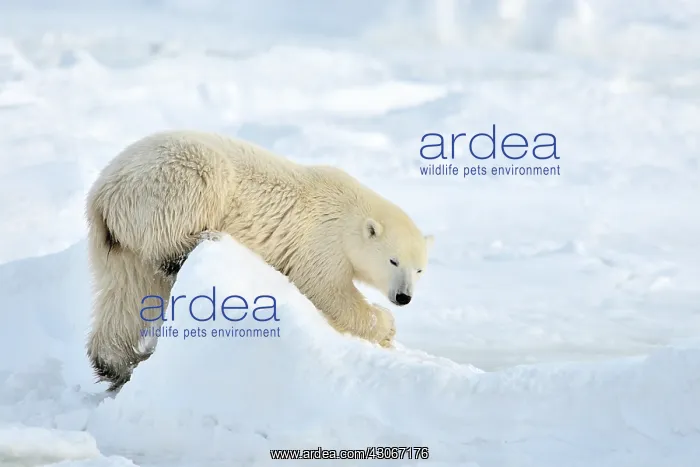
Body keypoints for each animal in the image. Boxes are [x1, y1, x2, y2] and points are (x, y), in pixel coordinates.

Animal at [85, 130, 434, 391]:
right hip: (173, 181)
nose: (404, 297)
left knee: (126, 292)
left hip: (120, 241)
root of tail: (104, 192)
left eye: (419, 269)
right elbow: (327, 289)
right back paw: (197, 241)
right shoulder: (322, 239)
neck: (349, 210)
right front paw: (385, 324)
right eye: (393, 261)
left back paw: (116, 364)